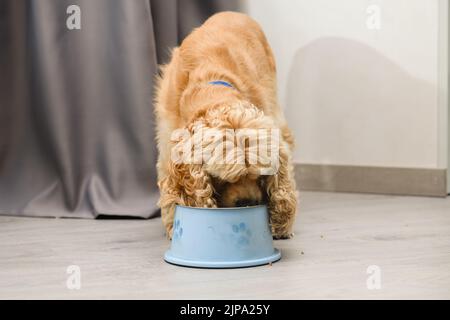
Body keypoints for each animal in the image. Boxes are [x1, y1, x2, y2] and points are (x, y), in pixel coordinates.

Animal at [155, 11, 298, 240]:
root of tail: (234, 13)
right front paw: (172, 225)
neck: (210, 84)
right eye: (222, 179)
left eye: (261, 176)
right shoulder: (168, 140)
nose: (248, 203)